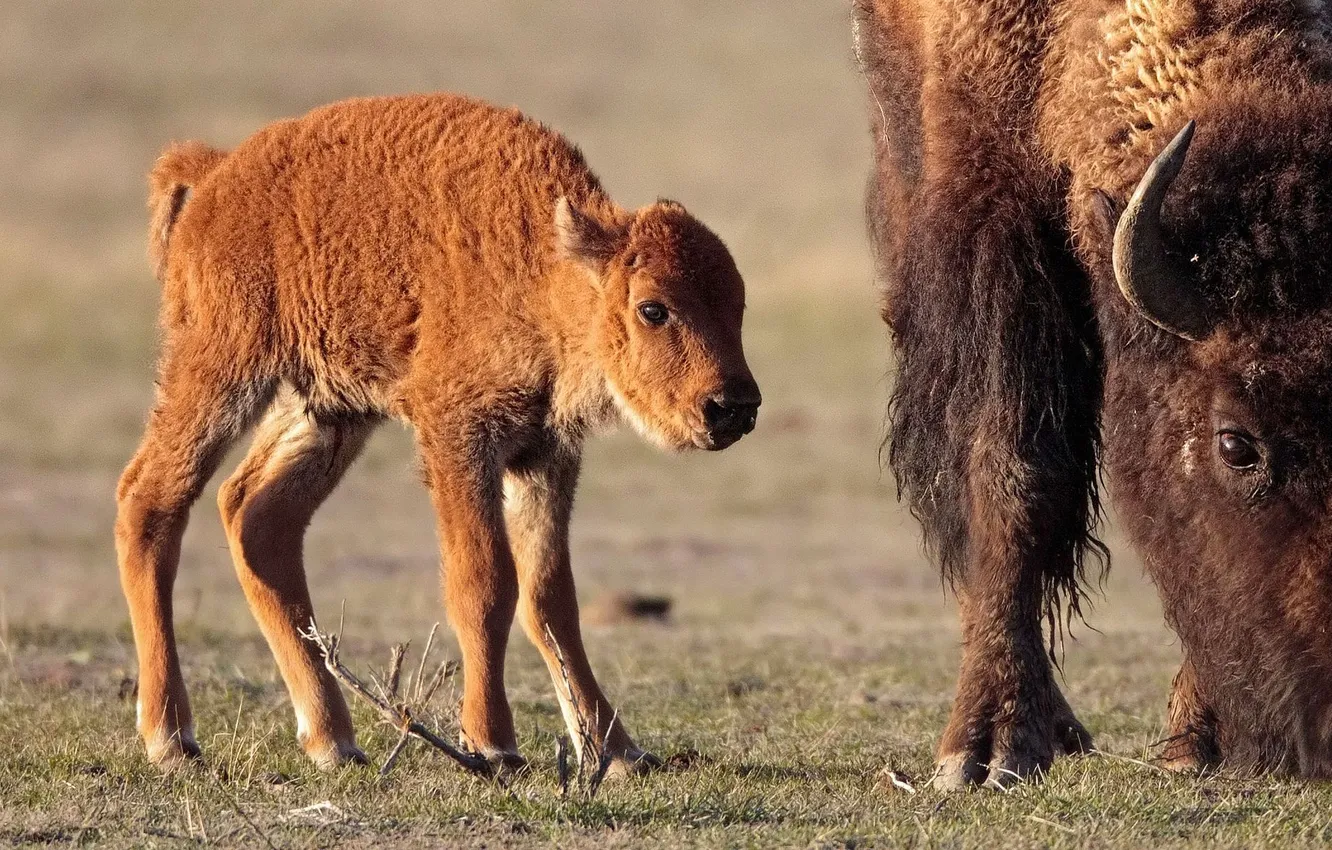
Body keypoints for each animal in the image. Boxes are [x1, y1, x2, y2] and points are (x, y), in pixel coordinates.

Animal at [117, 93, 761, 772]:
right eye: (653, 308)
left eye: (738, 305)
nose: (733, 408)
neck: (542, 271)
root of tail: (217, 173)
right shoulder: (459, 438)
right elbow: (484, 584)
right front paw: (494, 743)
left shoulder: (544, 452)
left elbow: (550, 597)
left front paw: (616, 753)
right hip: (221, 372)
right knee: (150, 503)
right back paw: (171, 738)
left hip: (327, 409)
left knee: (258, 517)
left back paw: (333, 741)